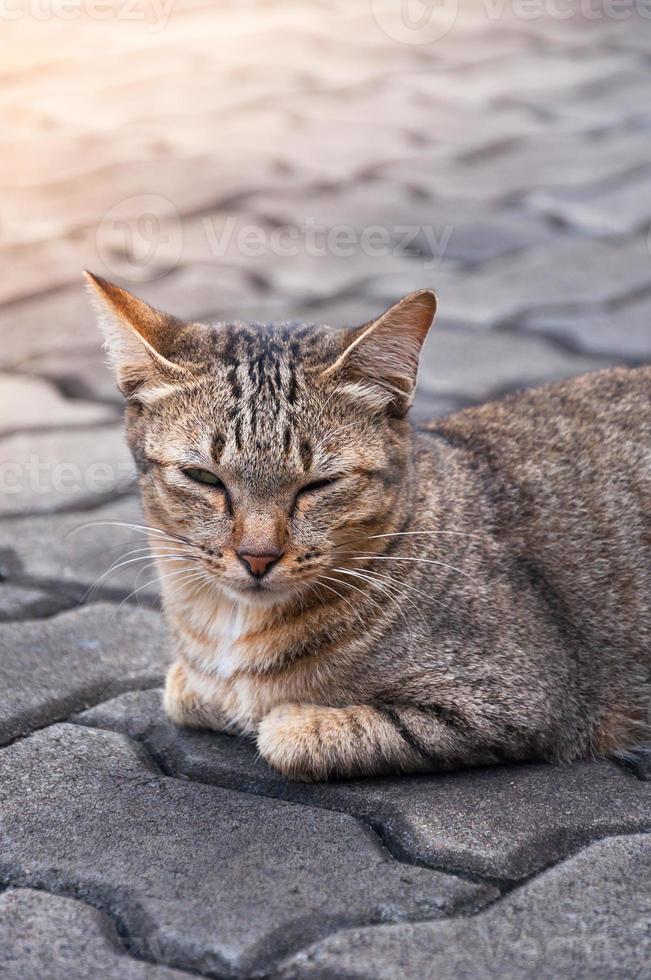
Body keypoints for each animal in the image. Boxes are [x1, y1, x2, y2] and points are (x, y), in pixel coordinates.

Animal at [88, 272, 651, 784]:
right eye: (204, 477)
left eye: (320, 484)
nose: (258, 556)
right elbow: (186, 691)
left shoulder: (515, 698)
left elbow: (288, 733)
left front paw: (281, 715)